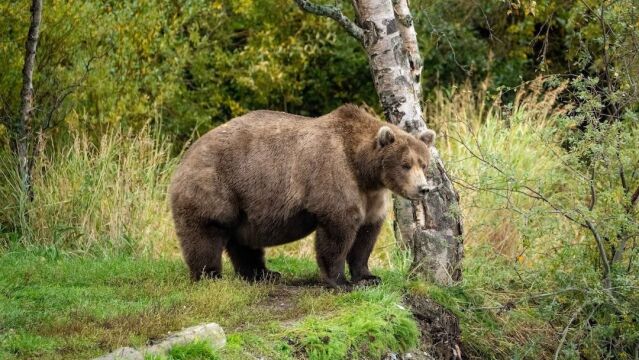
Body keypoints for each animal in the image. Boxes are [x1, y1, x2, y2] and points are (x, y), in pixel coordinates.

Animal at [168, 104, 438, 286]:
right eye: (405, 164)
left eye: (423, 164)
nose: (423, 189)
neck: (362, 169)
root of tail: (185, 157)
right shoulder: (333, 174)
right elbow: (338, 230)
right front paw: (339, 280)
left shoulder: (372, 195)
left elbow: (366, 234)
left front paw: (368, 276)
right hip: (215, 186)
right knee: (205, 233)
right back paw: (210, 276)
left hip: (245, 203)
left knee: (243, 240)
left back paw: (264, 274)